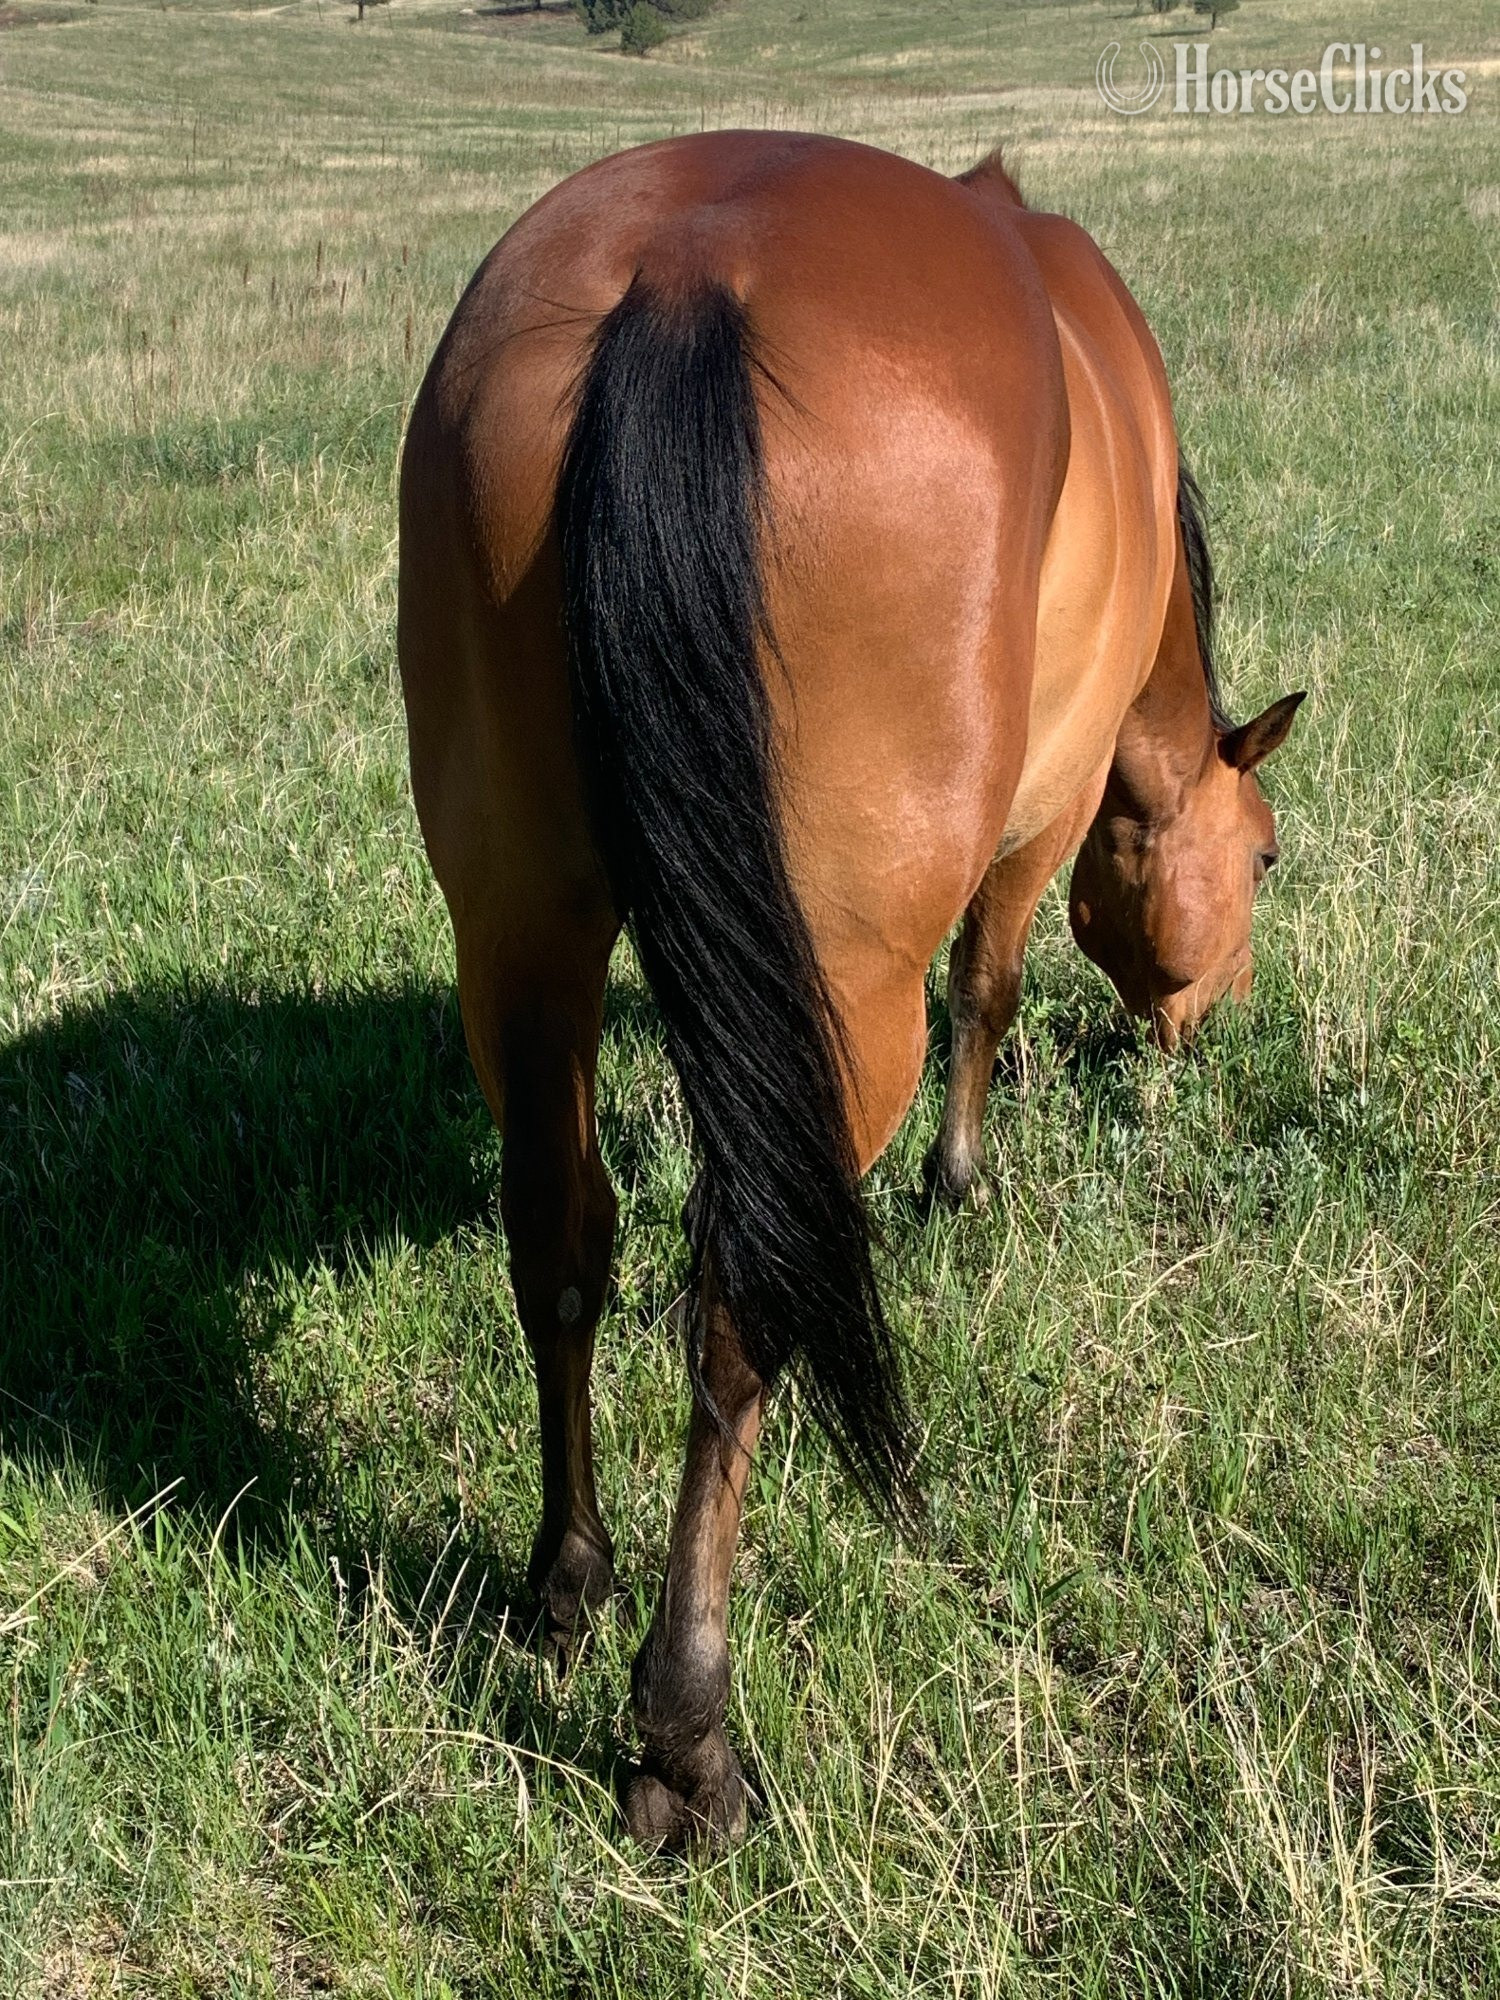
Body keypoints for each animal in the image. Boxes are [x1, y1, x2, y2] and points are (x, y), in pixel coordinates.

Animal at [396, 129, 1303, 1848]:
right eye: (1270, 857)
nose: (1186, 1035)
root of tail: (682, 281)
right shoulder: (1043, 813)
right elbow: (988, 990)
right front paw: (962, 1180)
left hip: (521, 930)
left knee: (560, 1237)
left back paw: (566, 1581)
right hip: (824, 994)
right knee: (743, 1296)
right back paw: (685, 1737)